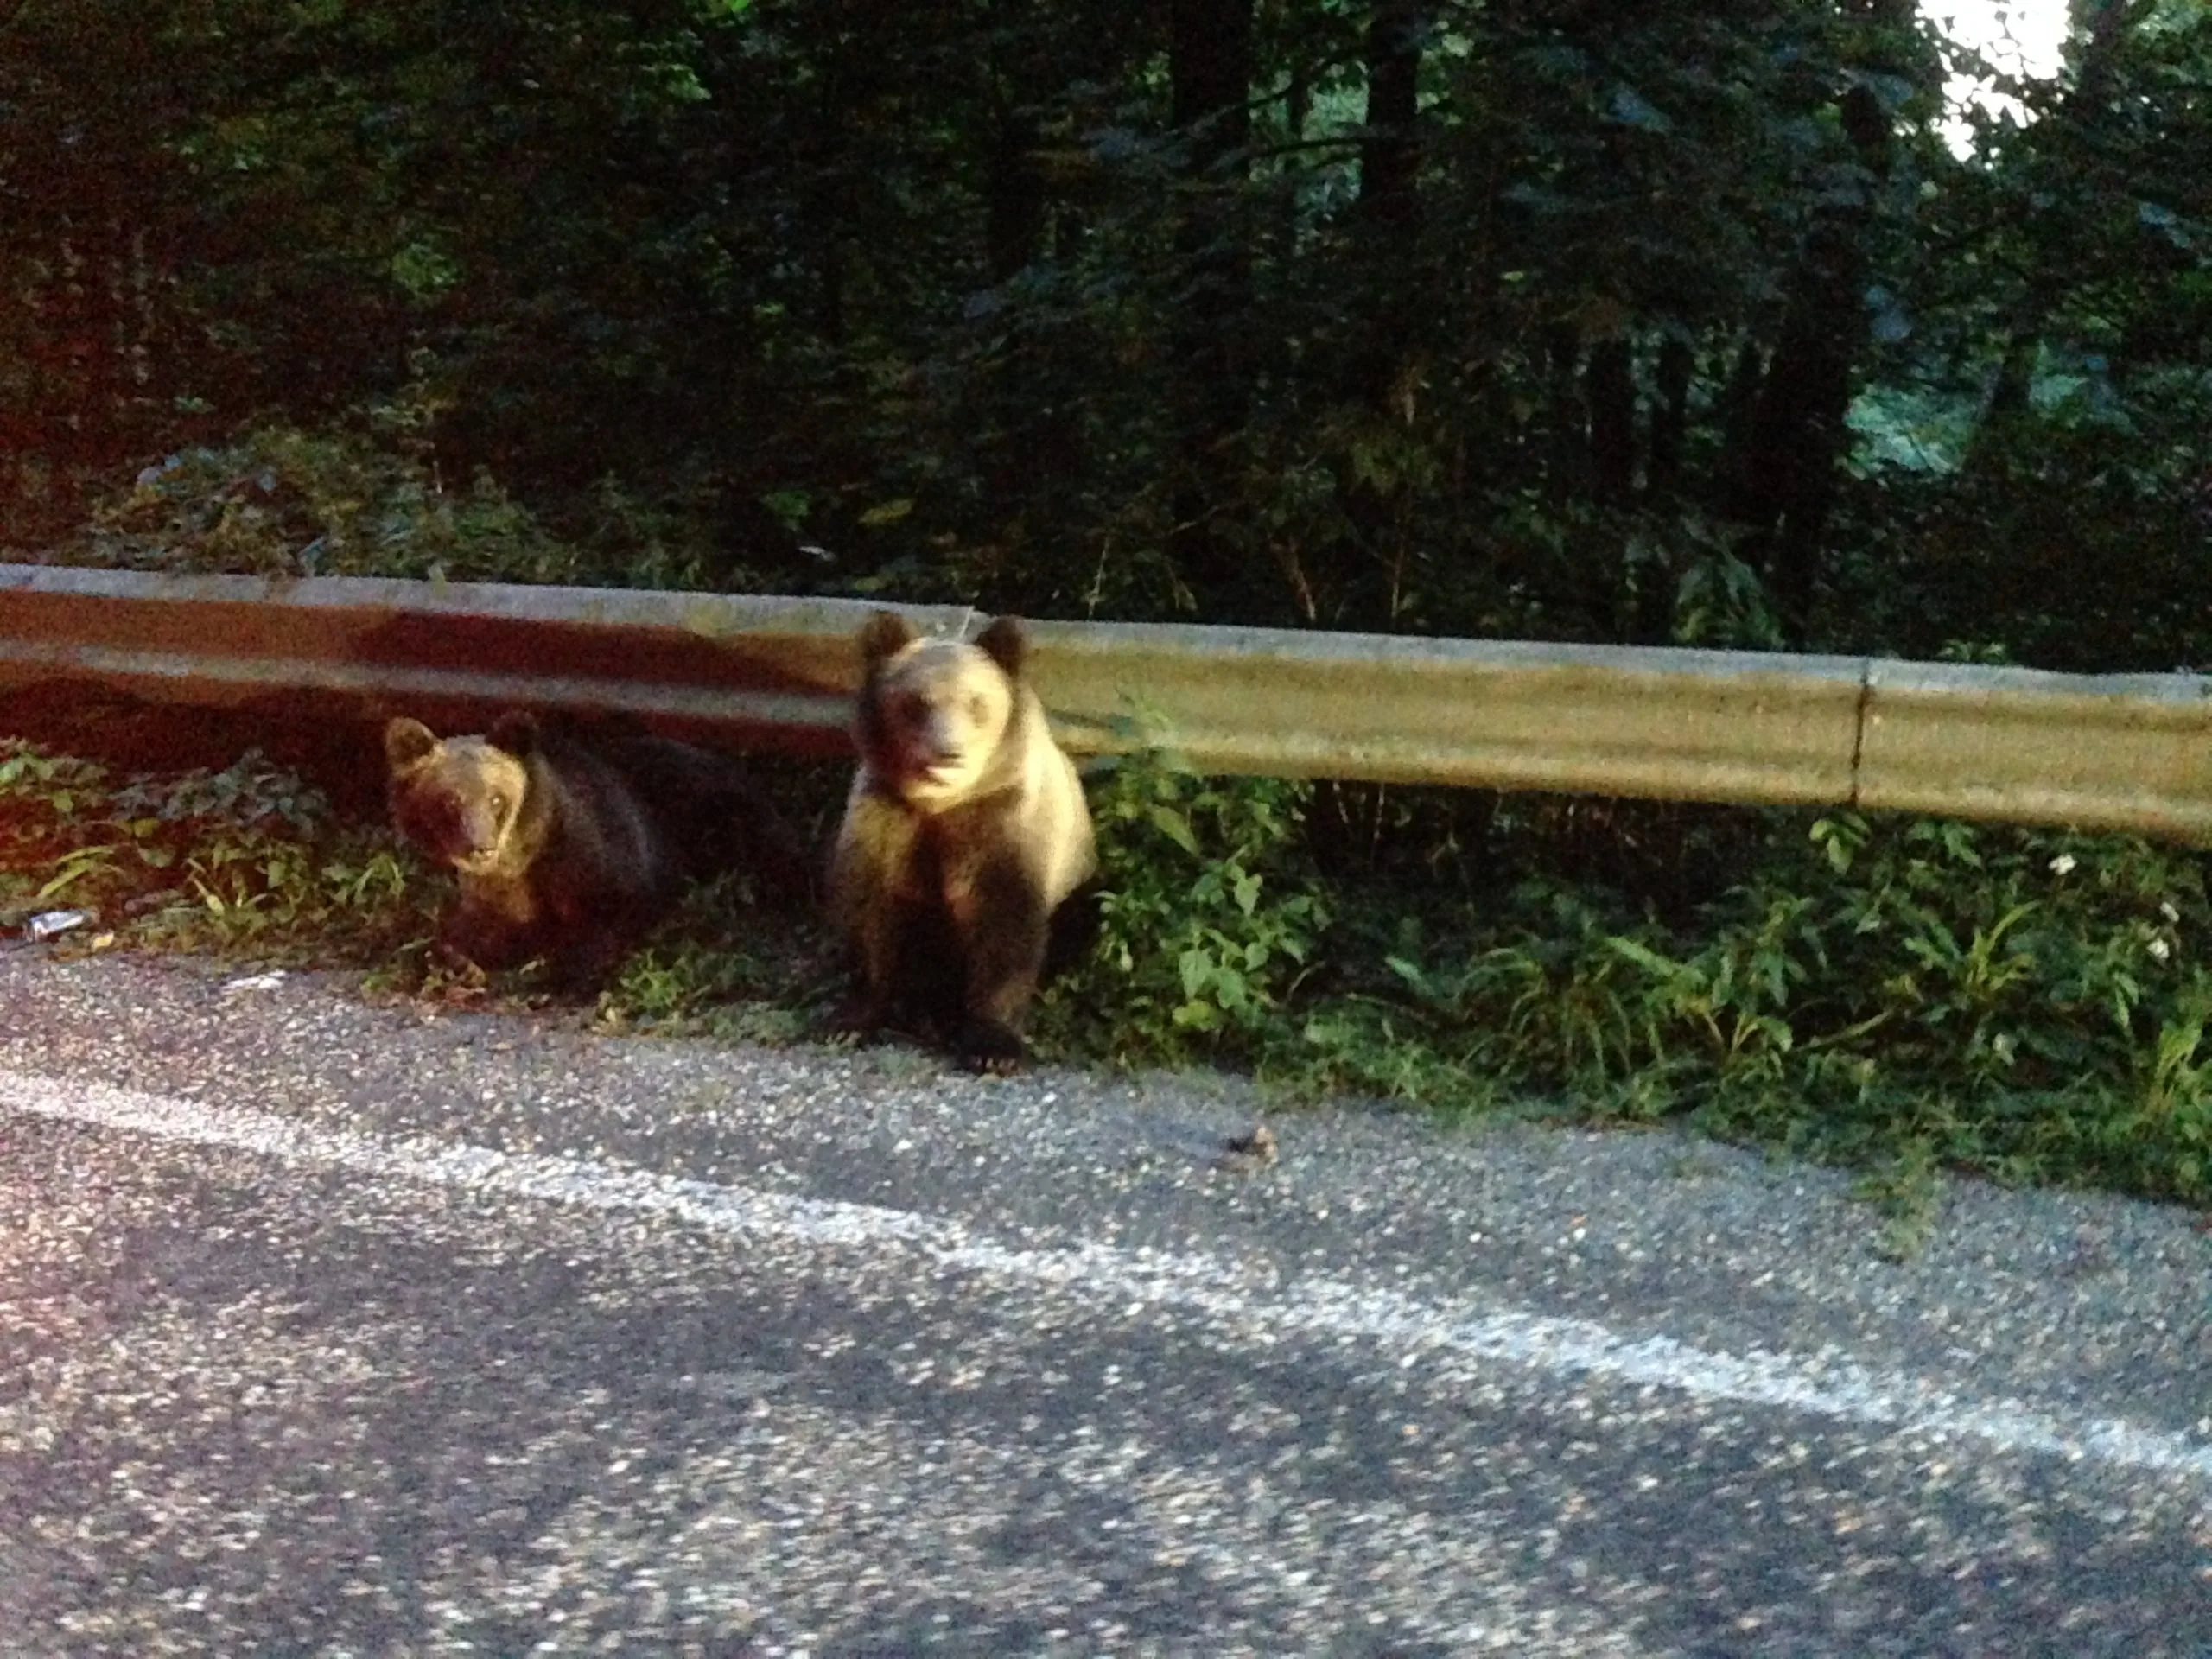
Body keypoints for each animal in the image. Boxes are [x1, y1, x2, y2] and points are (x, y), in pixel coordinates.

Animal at [383, 708, 805, 994]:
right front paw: (463, 962)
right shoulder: (494, 897)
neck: (523, 859)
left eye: (497, 798)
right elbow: (455, 936)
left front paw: (558, 968)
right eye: (450, 801)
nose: (480, 847)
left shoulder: (605, 868)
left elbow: (605, 925)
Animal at [830, 609, 1097, 1073]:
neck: (940, 805)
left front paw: (993, 1046)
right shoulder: (886, 819)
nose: (948, 753)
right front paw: (849, 1019)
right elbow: (869, 912)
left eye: (977, 703)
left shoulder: (1005, 828)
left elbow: (1005, 929)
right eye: (916, 702)